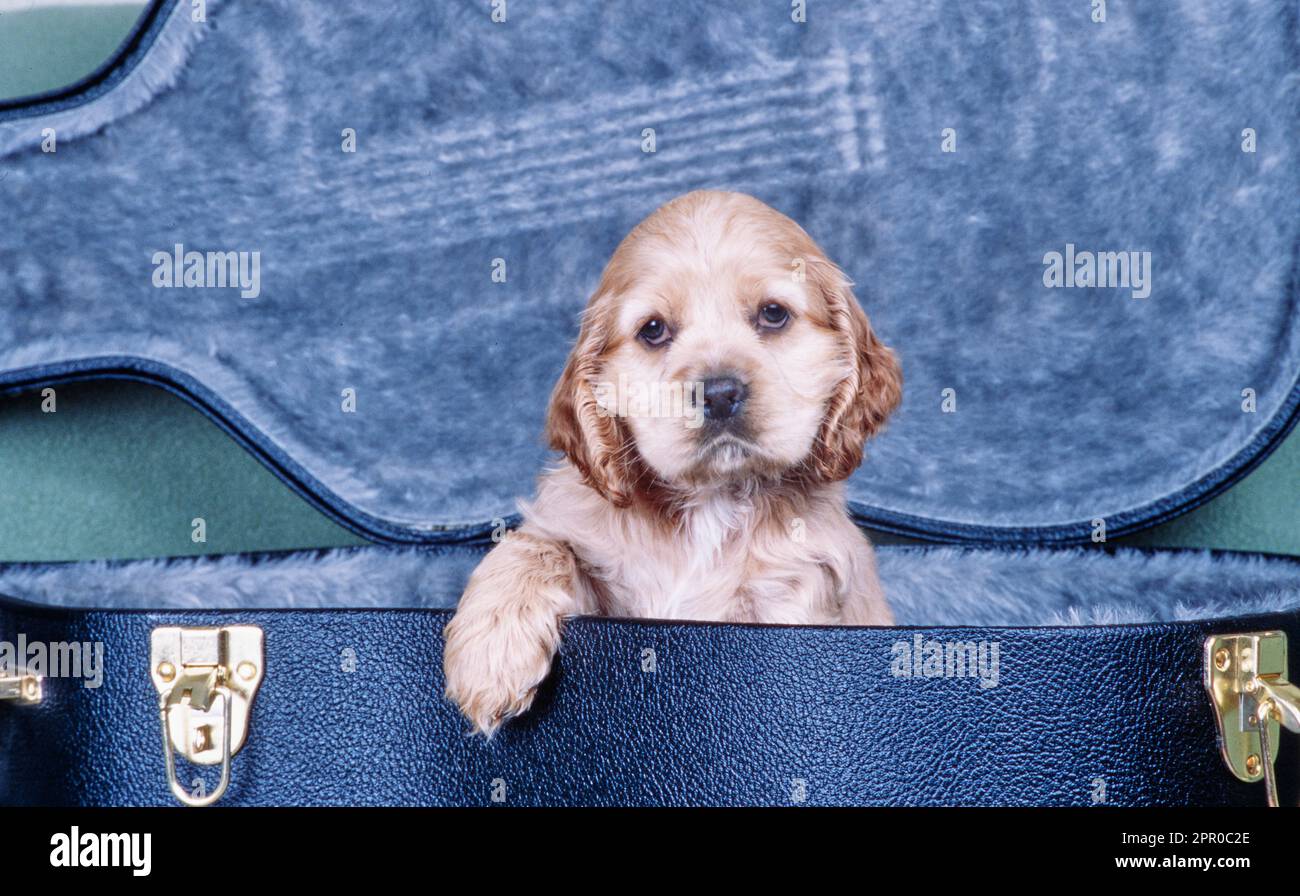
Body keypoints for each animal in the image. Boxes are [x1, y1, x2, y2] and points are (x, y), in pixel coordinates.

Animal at [441, 189, 899, 733]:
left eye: (773, 314)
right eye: (654, 330)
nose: (719, 393)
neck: (710, 502)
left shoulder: (792, 594)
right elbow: (538, 545)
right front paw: (490, 651)